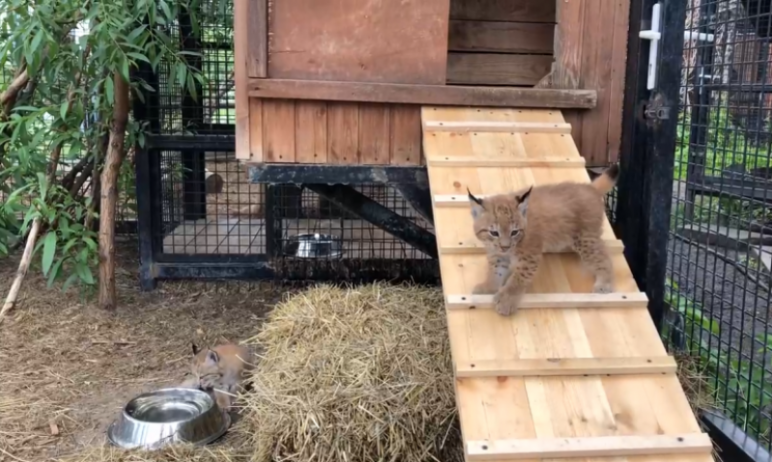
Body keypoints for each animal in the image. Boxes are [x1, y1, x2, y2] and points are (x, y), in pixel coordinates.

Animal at [468, 163, 620, 318]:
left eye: (514, 232)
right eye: (494, 233)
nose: (505, 247)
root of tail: (590, 188)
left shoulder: (529, 257)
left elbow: (518, 278)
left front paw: (506, 300)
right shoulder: (497, 254)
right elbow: (495, 271)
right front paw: (489, 287)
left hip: (585, 239)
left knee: (603, 258)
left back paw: (604, 284)